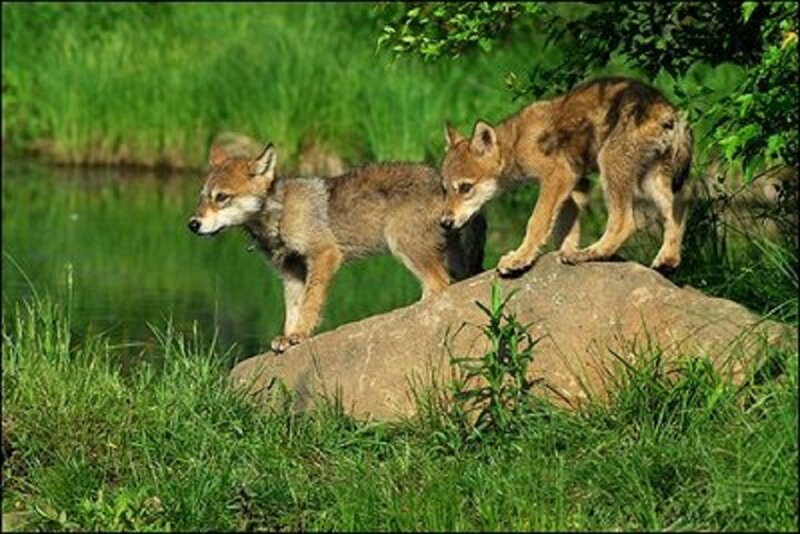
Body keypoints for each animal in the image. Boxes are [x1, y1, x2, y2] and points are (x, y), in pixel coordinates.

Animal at [188, 141, 485, 352]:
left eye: (222, 197)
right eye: (202, 198)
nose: (192, 224)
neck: (280, 214)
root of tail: (443, 183)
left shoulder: (325, 255)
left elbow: (310, 303)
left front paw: (300, 335)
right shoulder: (291, 273)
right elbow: (293, 309)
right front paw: (288, 336)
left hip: (405, 247)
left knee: (439, 285)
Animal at [440, 76, 693, 277]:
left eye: (465, 188)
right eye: (445, 190)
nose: (444, 223)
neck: (516, 142)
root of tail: (668, 109)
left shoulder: (558, 176)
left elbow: (536, 222)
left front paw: (519, 259)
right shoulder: (574, 185)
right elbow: (565, 230)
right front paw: (561, 251)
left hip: (611, 166)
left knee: (625, 222)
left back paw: (589, 253)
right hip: (650, 181)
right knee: (678, 208)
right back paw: (667, 260)